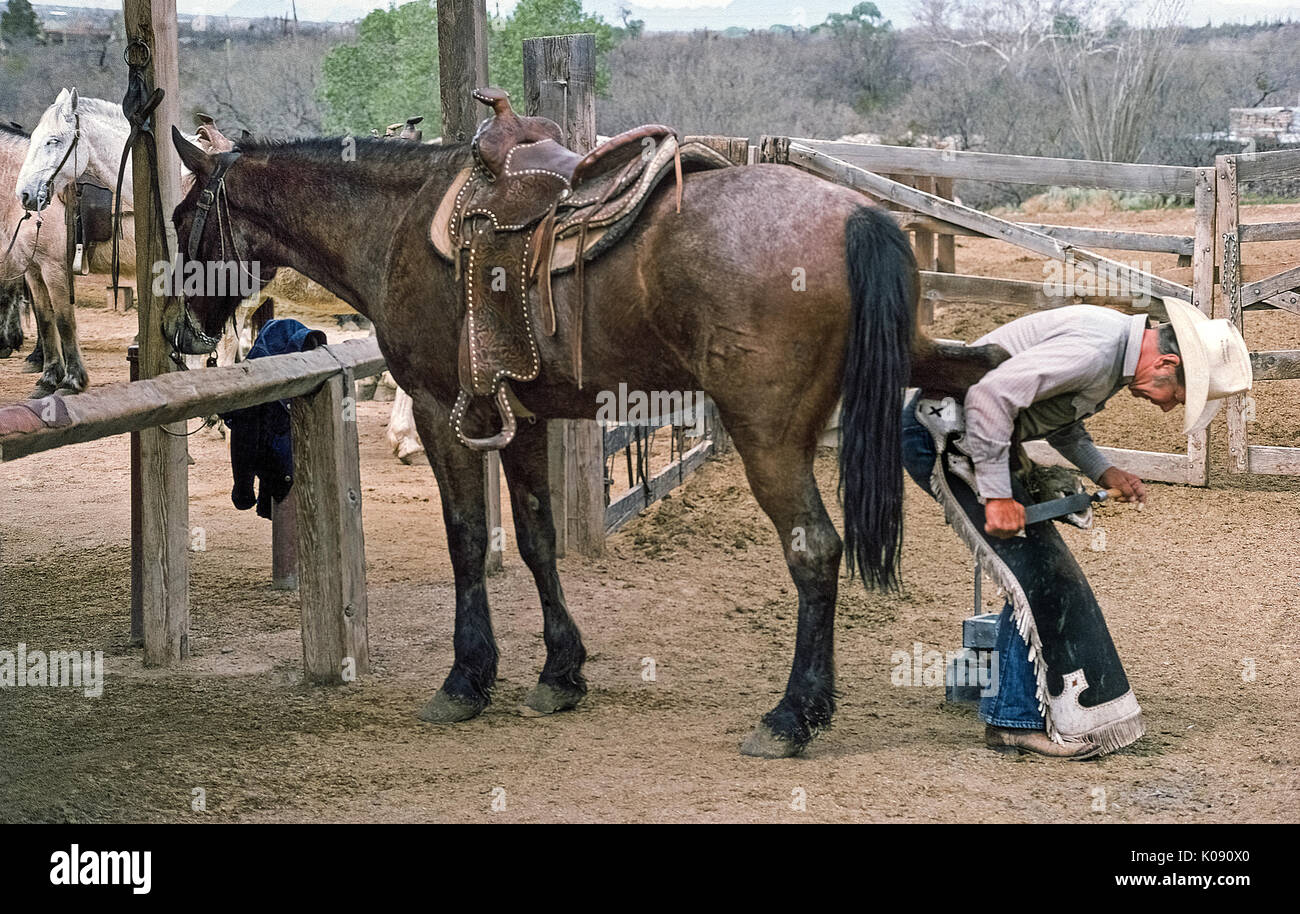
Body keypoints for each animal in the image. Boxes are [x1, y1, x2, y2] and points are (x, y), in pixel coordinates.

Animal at [164, 125, 1003, 757]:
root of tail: (858, 217)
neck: (397, 221)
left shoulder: (441, 410)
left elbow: (467, 538)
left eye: (179, 219)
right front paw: (560, 672)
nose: (177, 328)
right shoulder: (524, 416)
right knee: (984, 374)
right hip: (916, 363)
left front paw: (466, 679)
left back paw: (792, 715)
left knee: (815, 551)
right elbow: (536, 536)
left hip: (766, 435)